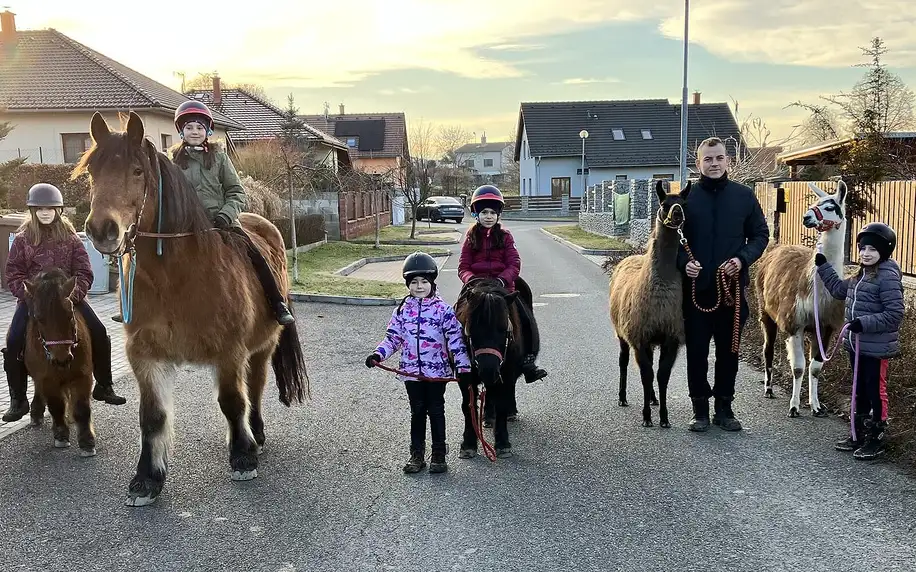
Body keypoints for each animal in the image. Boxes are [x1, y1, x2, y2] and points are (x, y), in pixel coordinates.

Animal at [22, 268, 97, 456]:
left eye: (70, 314)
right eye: (39, 318)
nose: (61, 360)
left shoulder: (83, 375)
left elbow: (82, 408)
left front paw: (87, 442)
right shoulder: (47, 379)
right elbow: (56, 406)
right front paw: (61, 435)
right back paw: (36, 413)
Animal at [71, 110, 308, 504]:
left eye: (138, 171)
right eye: (92, 172)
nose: (102, 230)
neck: (176, 276)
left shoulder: (230, 352)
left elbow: (233, 401)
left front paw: (243, 457)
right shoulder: (145, 354)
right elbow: (151, 416)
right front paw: (147, 478)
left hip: (262, 346)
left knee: (255, 388)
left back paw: (255, 434)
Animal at [452, 274, 524, 458]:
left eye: (504, 329)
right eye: (471, 328)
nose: (488, 370)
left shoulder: (505, 375)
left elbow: (502, 405)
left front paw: (503, 443)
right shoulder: (465, 377)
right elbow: (468, 406)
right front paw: (468, 444)